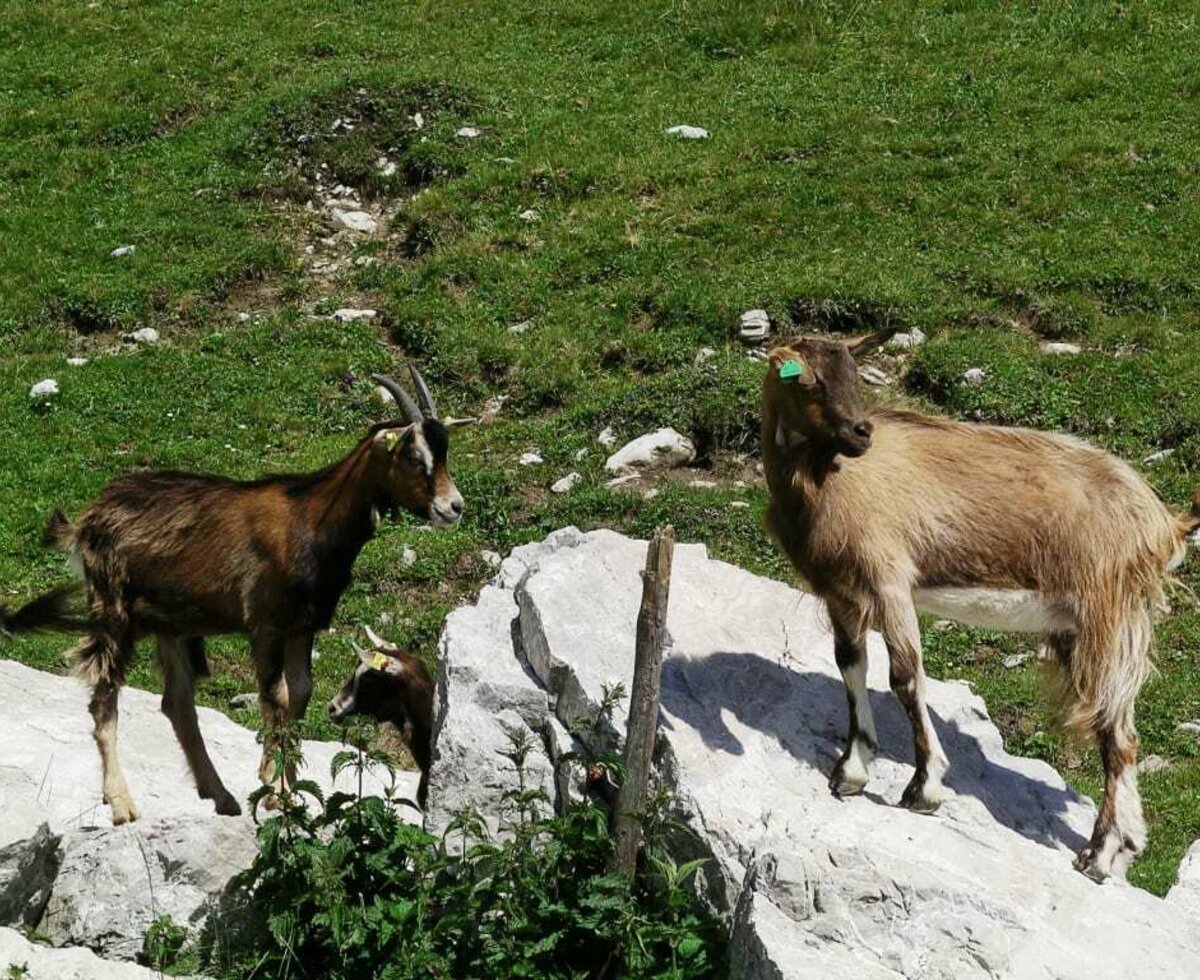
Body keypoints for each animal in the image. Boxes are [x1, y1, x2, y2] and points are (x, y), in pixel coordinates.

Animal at [763, 333, 1195, 882]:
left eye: (854, 373)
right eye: (807, 379)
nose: (861, 433)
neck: (825, 479)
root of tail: (1163, 524)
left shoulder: (890, 582)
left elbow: (905, 678)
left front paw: (923, 789)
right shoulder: (841, 594)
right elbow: (850, 666)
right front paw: (851, 771)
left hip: (1109, 618)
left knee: (1116, 734)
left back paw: (1096, 855)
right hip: (1089, 626)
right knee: (1120, 728)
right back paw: (1124, 847)